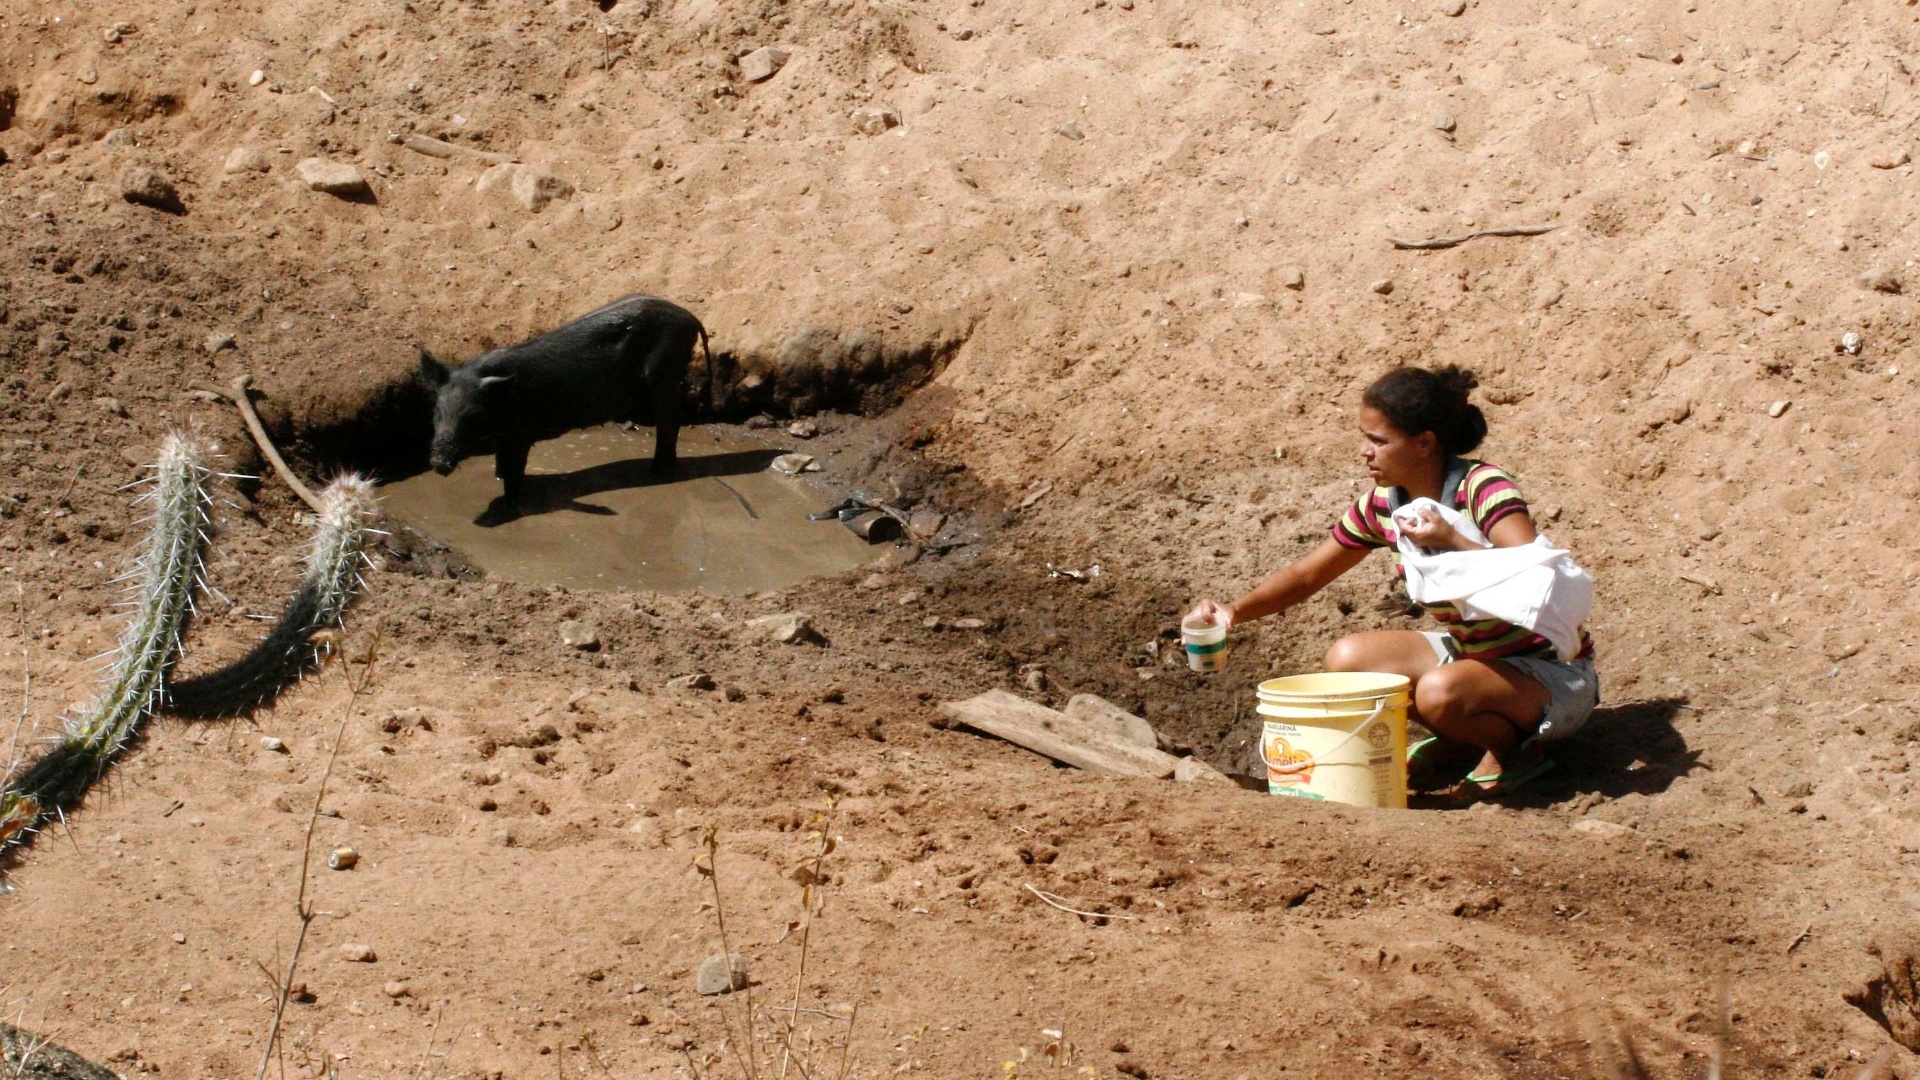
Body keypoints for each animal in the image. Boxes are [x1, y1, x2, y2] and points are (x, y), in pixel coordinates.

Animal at [420, 292, 714, 507]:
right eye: (437, 410)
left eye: (475, 415)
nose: (438, 463)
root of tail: (689, 316)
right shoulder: (502, 435)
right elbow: (501, 467)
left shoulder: (521, 432)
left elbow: (514, 471)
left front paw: (511, 501)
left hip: (664, 374)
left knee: (671, 420)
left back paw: (656, 472)